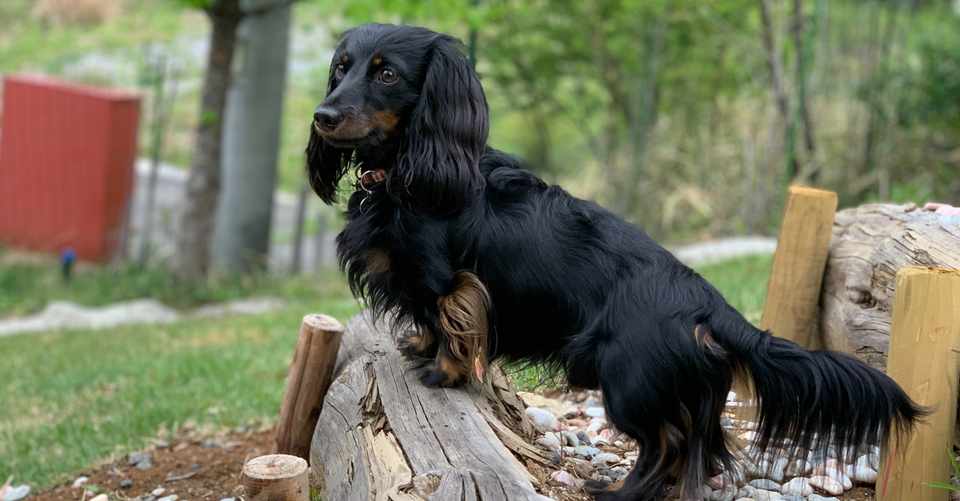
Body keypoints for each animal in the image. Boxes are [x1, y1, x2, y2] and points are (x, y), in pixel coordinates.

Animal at [306, 23, 924, 500]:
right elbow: (430, 322)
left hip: (626, 382)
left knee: (667, 444)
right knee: (698, 449)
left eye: (387, 74)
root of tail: (709, 309)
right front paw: (418, 346)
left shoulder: (444, 278)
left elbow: (451, 320)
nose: (322, 116)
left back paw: (619, 491)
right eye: (342, 68)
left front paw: (442, 370)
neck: (408, 171)